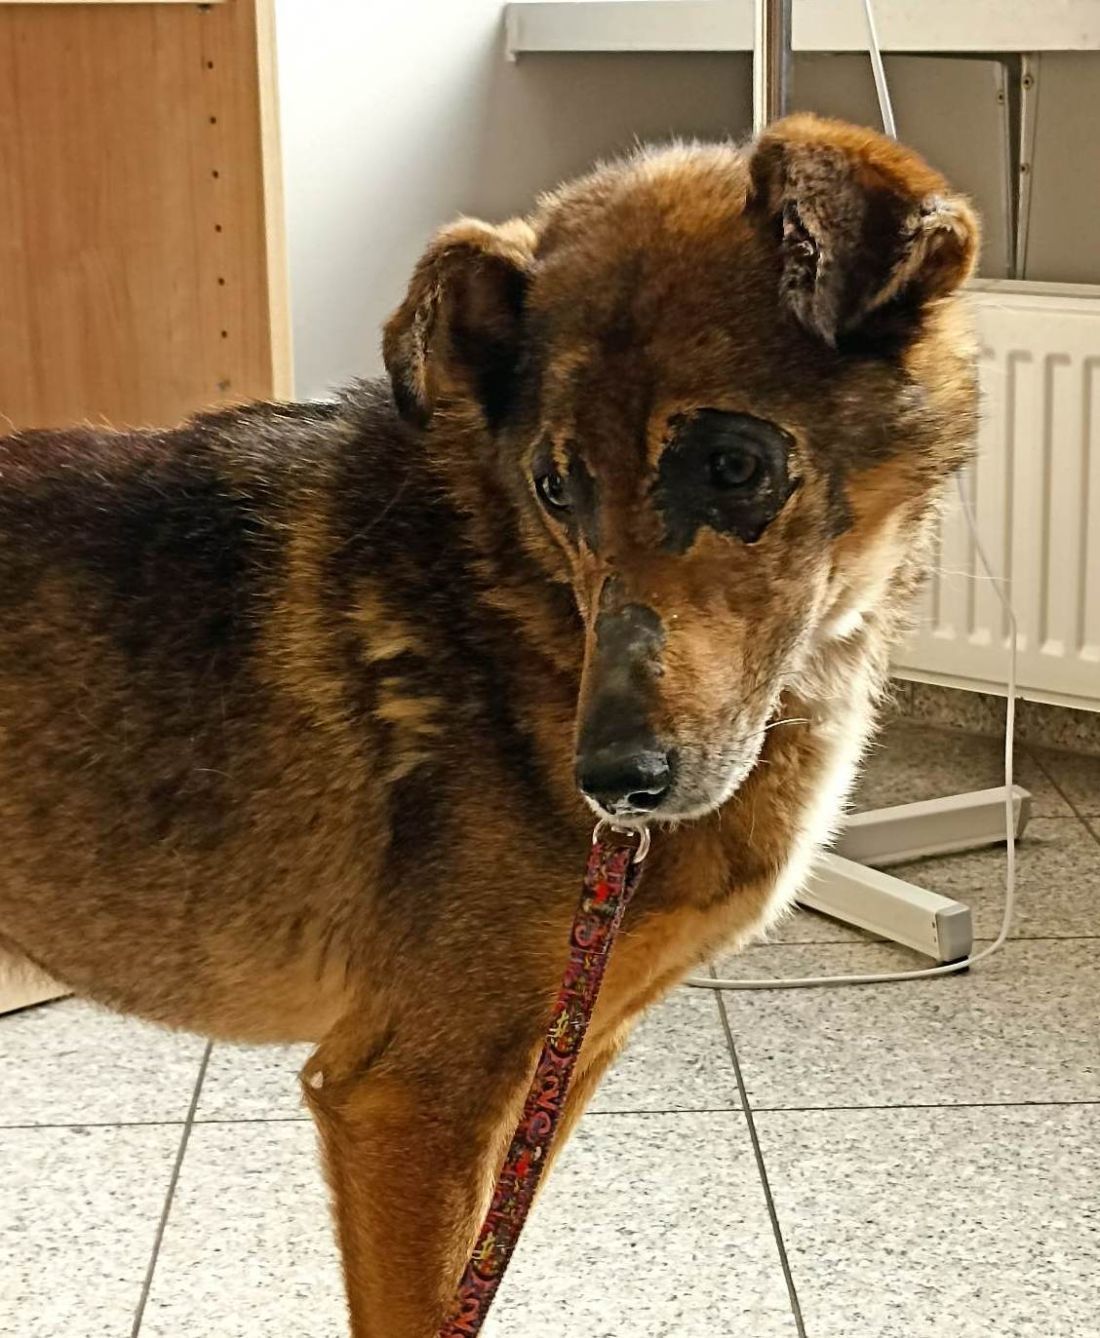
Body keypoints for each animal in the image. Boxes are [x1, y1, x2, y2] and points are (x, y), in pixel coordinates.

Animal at [0, 115, 978, 1336]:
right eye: (555, 487)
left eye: (734, 465)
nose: (610, 781)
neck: (522, 597)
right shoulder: (407, 1101)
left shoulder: (556, 1065)